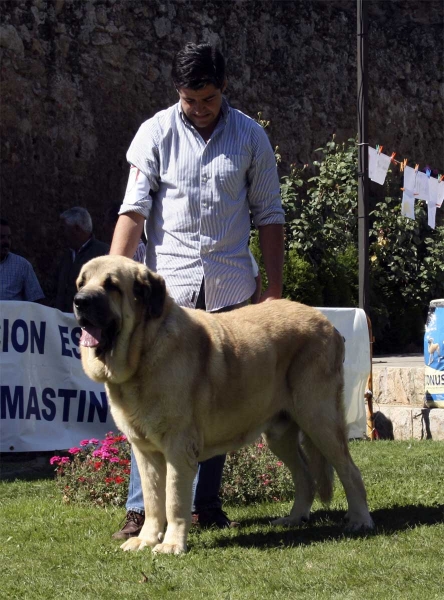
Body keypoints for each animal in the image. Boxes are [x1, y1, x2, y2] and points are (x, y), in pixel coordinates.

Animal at [74, 255, 372, 556]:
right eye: (81, 283)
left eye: (111, 285)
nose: (79, 301)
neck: (144, 350)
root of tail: (327, 322)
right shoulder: (145, 451)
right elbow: (153, 500)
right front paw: (146, 539)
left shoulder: (177, 447)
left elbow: (173, 501)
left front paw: (171, 544)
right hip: (280, 434)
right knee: (305, 477)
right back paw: (294, 517)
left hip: (319, 419)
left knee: (350, 471)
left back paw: (360, 519)